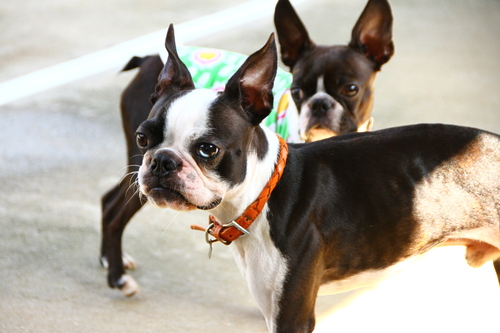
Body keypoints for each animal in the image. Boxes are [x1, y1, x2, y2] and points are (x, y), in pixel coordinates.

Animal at [99, 0, 392, 294]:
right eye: (143, 137)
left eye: (351, 89)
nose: (162, 160)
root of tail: (148, 59)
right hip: (137, 170)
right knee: (114, 209)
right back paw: (117, 276)